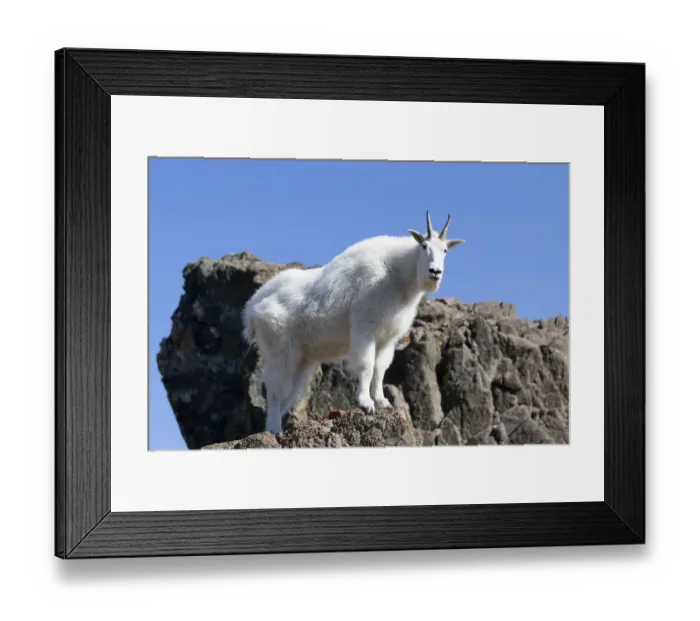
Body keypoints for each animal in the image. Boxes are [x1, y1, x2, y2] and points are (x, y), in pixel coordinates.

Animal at [241, 211, 465, 435]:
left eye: (445, 250)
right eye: (424, 246)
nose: (435, 272)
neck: (397, 275)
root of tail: (252, 308)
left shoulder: (388, 338)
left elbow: (380, 368)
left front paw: (382, 402)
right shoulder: (364, 328)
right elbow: (366, 365)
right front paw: (366, 403)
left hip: (302, 358)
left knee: (289, 392)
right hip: (279, 348)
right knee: (275, 390)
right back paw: (274, 430)